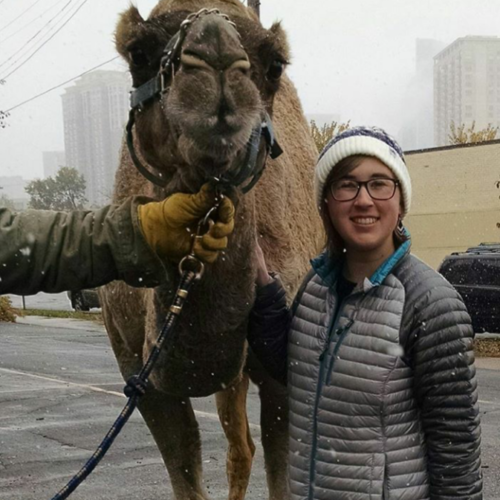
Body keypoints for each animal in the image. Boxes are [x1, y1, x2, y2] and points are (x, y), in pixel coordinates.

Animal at [99, 1, 322, 498]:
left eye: (275, 63)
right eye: (138, 52)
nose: (216, 56)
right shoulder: (136, 369)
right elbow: (184, 467)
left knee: (243, 447)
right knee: (239, 448)